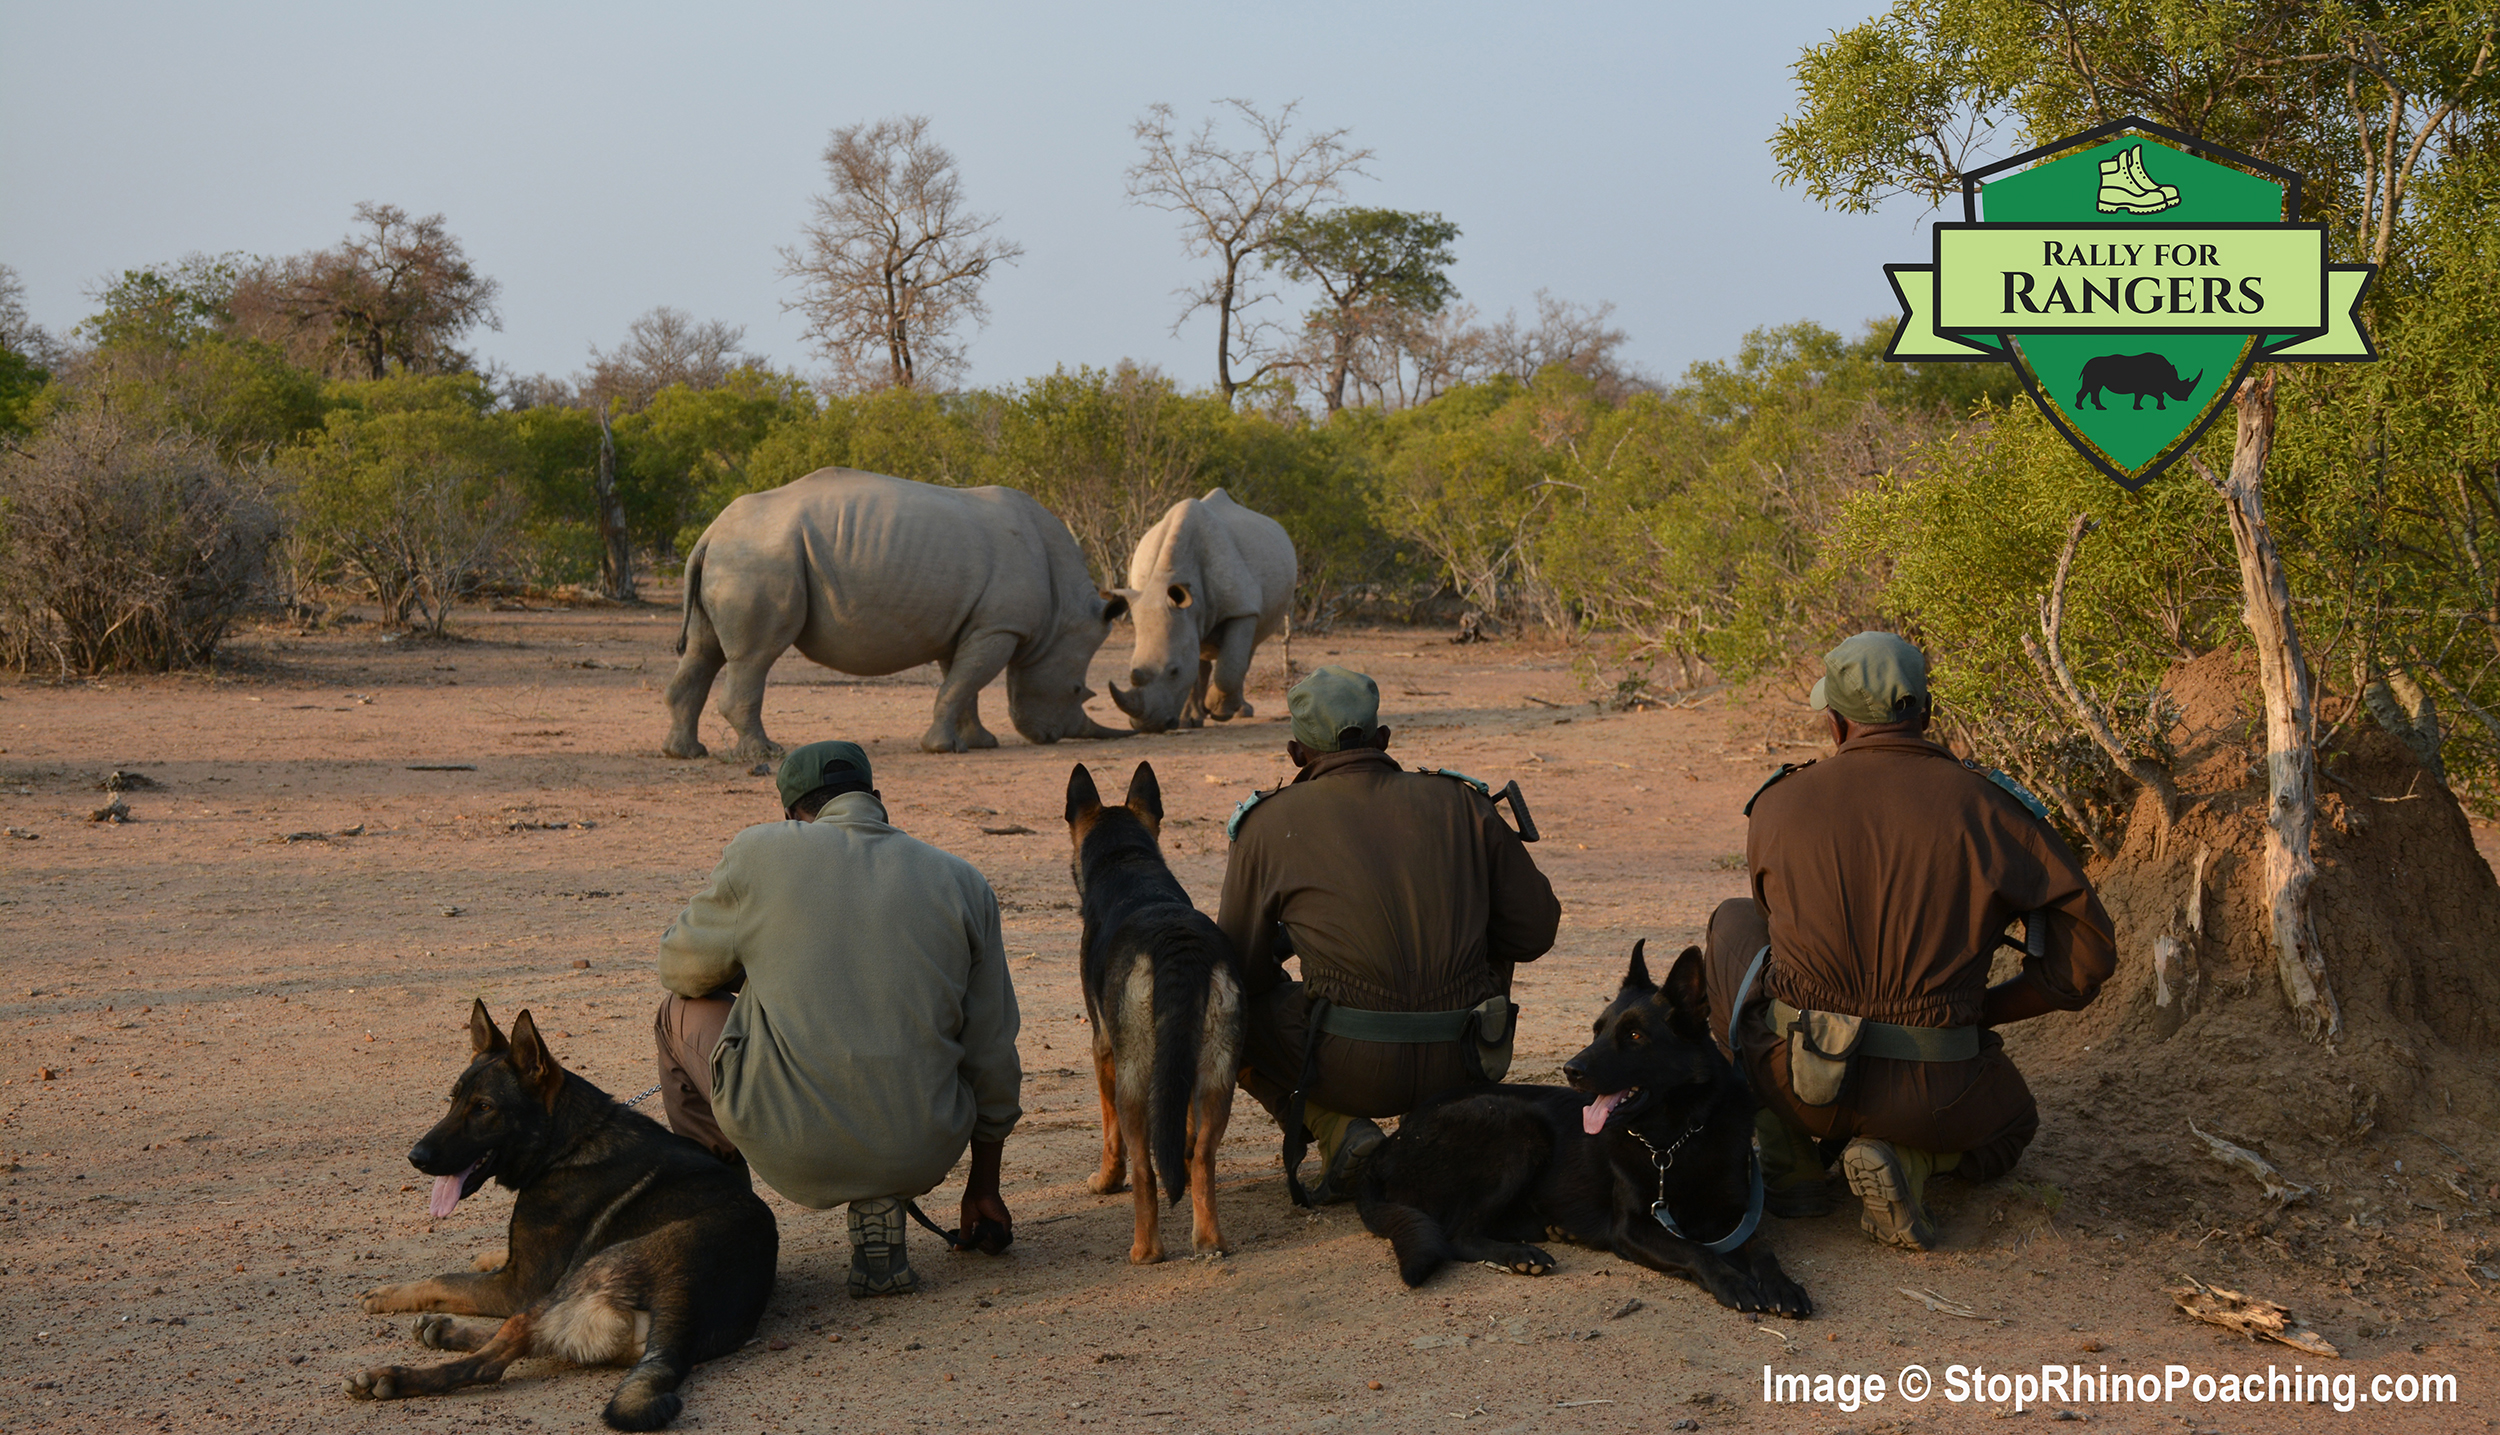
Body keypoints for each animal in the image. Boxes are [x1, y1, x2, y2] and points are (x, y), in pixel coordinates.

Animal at [670, 472, 1130, 765]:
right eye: (1077, 689)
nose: (1053, 737)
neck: (1063, 611)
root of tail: (710, 532)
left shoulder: (972, 625)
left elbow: (962, 684)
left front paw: (980, 743)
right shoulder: (1001, 627)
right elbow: (963, 683)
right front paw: (943, 749)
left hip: (736, 555)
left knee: (703, 651)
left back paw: (685, 753)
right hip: (760, 558)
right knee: (755, 656)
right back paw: (766, 753)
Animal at [1115, 492, 1310, 735]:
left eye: (1174, 671)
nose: (1148, 726)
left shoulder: (1241, 609)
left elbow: (1229, 667)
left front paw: (1217, 710)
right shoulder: (1183, 614)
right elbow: (1194, 664)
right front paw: (1186, 721)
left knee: (1246, 652)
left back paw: (1238, 711)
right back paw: (1197, 715)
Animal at [1360, 940, 1810, 1320]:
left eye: (1634, 1035)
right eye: (1597, 1030)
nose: (1570, 1070)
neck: (1673, 1140)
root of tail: (1388, 1147)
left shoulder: (1735, 1216)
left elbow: (1761, 1247)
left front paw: (1782, 1286)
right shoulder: (1634, 1229)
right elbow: (1695, 1251)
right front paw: (1732, 1281)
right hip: (1514, 1124)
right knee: (1458, 1234)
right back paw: (1521, 1254)